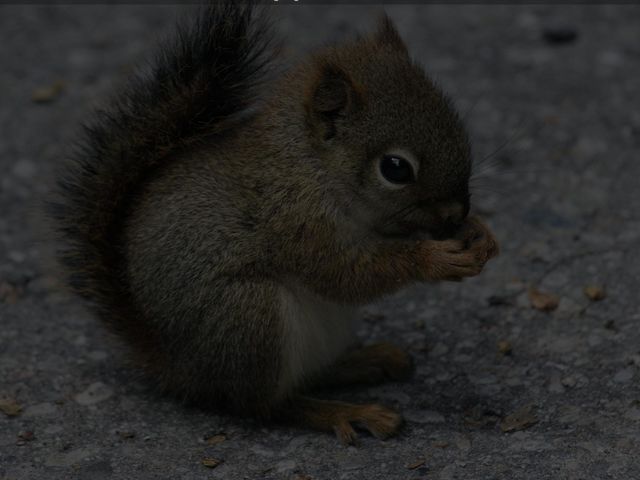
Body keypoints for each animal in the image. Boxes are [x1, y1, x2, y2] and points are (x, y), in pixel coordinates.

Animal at [51, 4, 498, 444]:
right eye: (395, 168)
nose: (455, 213)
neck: (311, 166)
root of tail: (177, 367)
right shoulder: (296, 222)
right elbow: (346, 274)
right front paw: (435, 260)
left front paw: (480, 233)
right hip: (250, 318)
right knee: (266, 405)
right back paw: (344, 412)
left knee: (308, 377)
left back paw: (366, 361)